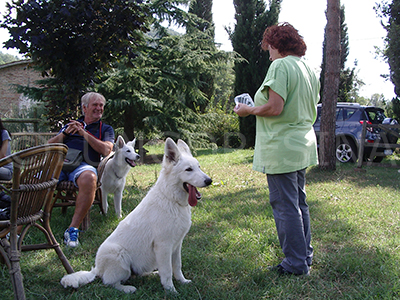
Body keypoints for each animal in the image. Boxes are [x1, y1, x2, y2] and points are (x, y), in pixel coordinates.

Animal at [60, 138, 212, 292]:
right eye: (189, 169)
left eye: (198, 167)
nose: (209, 181)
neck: (171, 199)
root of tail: (97, 269)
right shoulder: (163, 246)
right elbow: (168, 271)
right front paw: (171, 291)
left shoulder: (176, 245)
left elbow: (177, 267)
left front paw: (182, 281)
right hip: (120, 258)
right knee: (109, 282)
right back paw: (128, 288)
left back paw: (152, 273)